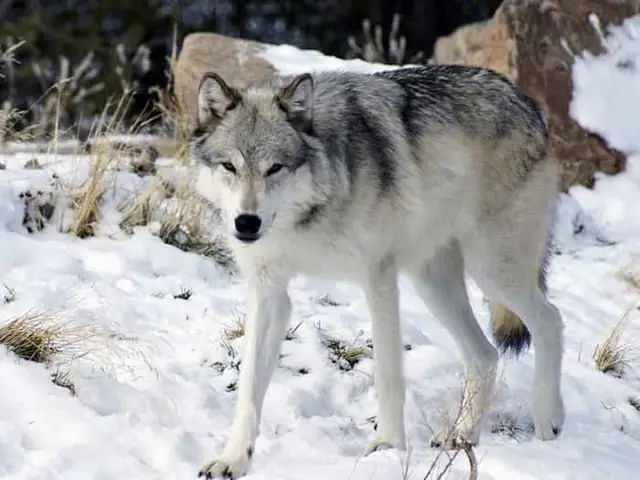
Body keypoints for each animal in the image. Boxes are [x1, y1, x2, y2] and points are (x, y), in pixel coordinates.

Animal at [189, 64, 565, 479]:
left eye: (275, 168)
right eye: (229, 166)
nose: (246, 223)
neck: (307, 217)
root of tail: (527, 103)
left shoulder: (379, 280)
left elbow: (387, 374)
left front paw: (386, 447)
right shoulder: (269, 291)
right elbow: (249, 388)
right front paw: (233, 459)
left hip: (492, 270)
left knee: (551, 320)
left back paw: (548, 421)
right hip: (433, 284)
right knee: (485, 355)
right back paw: (461, 435)